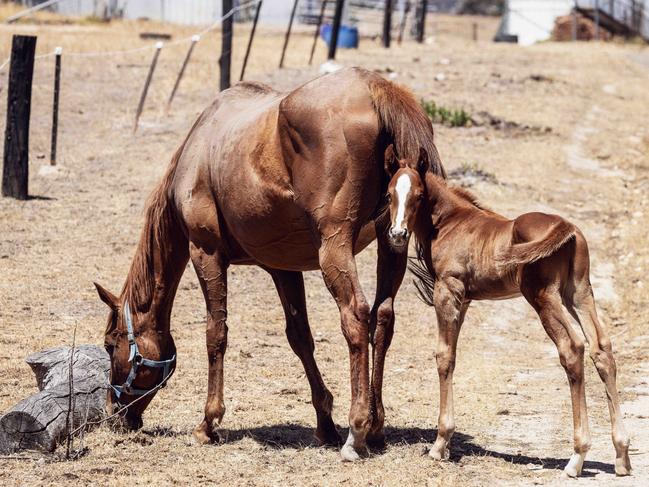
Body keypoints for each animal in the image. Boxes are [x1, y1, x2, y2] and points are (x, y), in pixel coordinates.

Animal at [392, 160, 632, 476]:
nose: (397, 234)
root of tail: (565, 226)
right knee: (601, 348)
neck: (450, 222)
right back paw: (622, 454)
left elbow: (444, 357)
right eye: (390, 193)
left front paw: (440, 444)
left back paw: (577, 456)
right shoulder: (464, 299)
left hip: (543, 296)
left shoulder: (447, 292)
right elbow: (452, 354)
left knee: (573, 348)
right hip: (579, 293)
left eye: (418, 195)